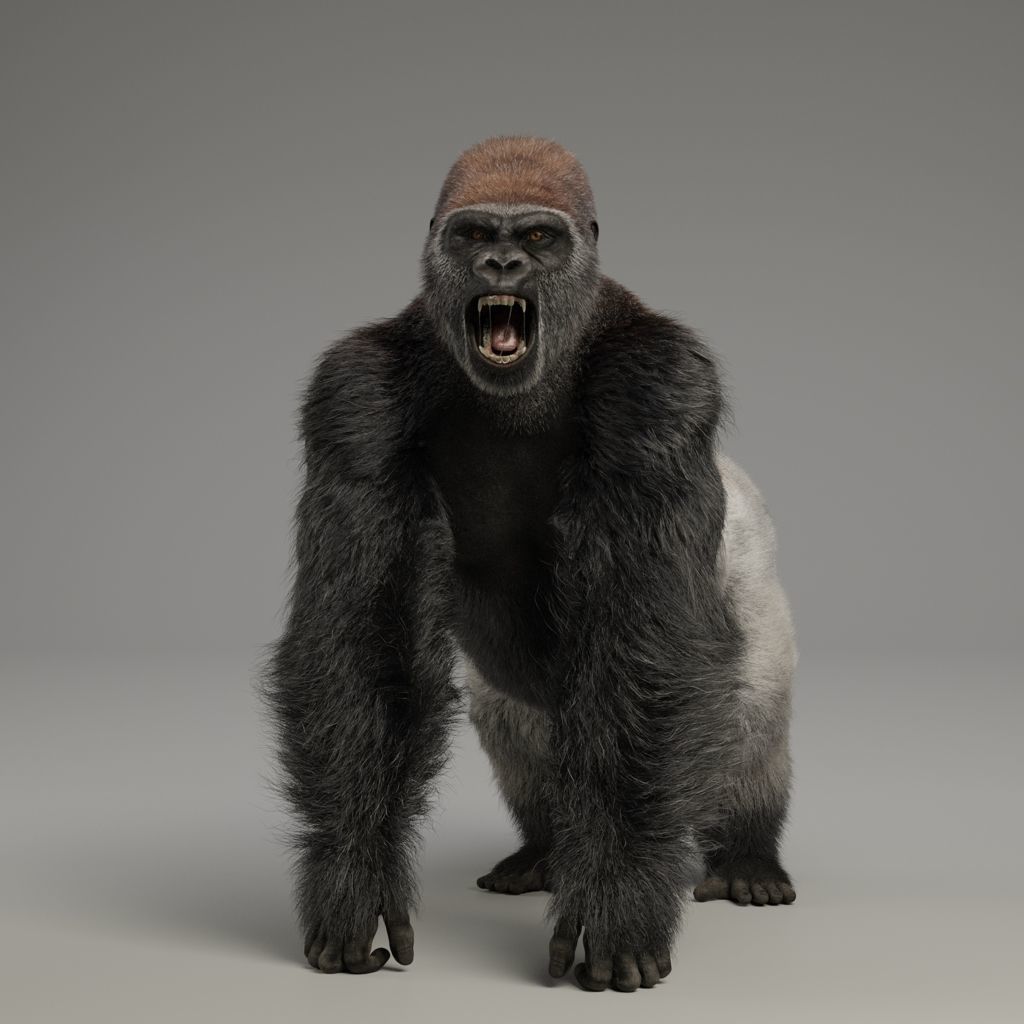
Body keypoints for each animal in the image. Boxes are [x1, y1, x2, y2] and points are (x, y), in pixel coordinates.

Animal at [264, 136, 796, 994]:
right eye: (476, 235)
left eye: (540, 238)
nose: (504, 264)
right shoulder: (354, 395)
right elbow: (362, 648)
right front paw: (353, 875)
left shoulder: (661, 385)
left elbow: (648, 655)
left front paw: (617, 892)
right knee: (522, 737)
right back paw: (545, 851)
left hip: (757, 589)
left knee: (749, 723)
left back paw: (749, 854)